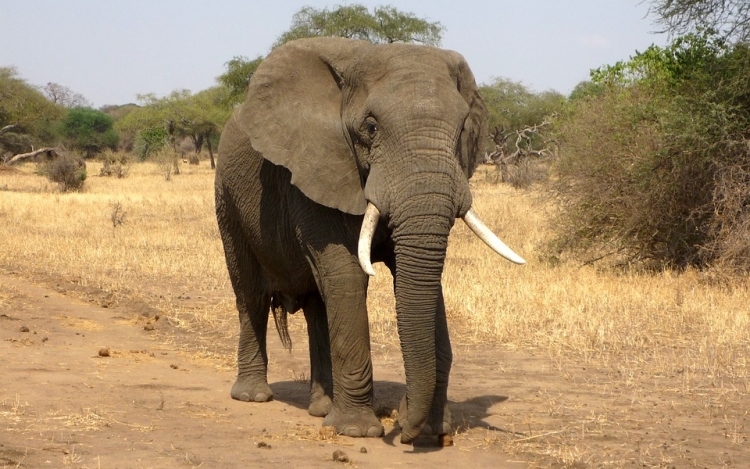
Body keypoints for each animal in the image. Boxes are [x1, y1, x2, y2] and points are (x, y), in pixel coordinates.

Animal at [214, 36, 524, 442]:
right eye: (371, 127)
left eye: (461, 131)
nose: (405, 429)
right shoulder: (317, 167)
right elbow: (347, 273)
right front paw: (356, 432)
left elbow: (417, 279)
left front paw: (433, 430)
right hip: (227, 196)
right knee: (249, 292)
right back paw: (253, 396)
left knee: (317, 303)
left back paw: (321, 408)